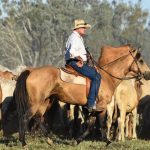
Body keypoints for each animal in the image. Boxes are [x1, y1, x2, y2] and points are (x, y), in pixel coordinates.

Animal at [14, 44, 150, 146]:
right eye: (141, 60)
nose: (148, 73)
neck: (107, 77)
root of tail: (30, 71)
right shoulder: (102, 106)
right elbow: (101, 124)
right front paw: (107, 141)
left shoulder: (90, 109)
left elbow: (90, 125)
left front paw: (77, 141)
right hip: (36, 102)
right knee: (26, 117)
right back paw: (24, 142)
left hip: (45, 101)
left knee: (37, 117)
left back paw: (49, 140)